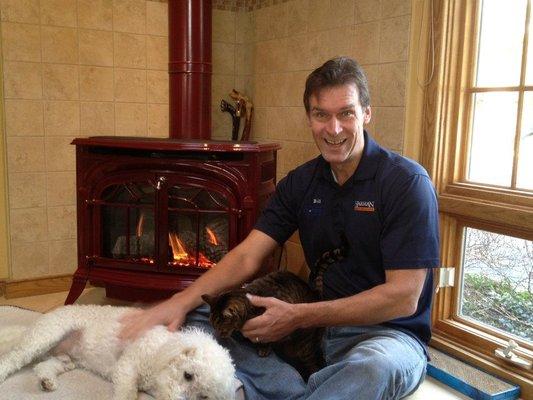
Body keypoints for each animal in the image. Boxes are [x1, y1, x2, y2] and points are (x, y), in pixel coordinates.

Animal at [0, 304, 235, 398]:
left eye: (204, 396)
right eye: (188, 375)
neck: (160, 353)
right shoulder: (126, 367)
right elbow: (127, 393)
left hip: (64, 359)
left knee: (43, 366)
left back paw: (46, 381)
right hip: (46, 334)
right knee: (12, 358)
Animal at [200, 245, 344, 380]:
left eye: (221, 328)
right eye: (213, 326)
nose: (219, 336)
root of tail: (315, 293)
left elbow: (265, 340)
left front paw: (263, 348)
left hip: (305, 345)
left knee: (313, 364)